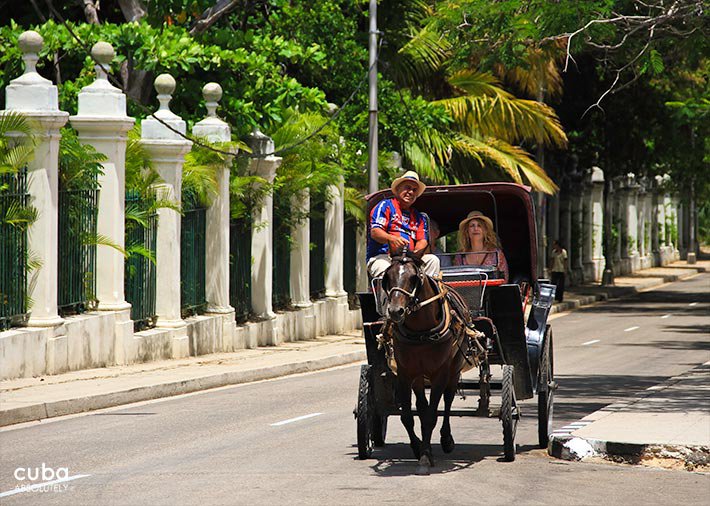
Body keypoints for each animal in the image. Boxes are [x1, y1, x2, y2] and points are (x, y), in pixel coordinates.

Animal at [382, 249, 482, 474]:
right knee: (421, 404)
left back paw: (446, 440)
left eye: (413, 278)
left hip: (453, 370)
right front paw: (417, 447)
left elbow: (431, 416)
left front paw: (426, 457)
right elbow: (408, 416)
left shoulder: (440, 373)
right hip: (419, 375)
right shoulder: (405, 373)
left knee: (447, 400)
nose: (395, 311)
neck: (421, 331)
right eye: (387, 277)